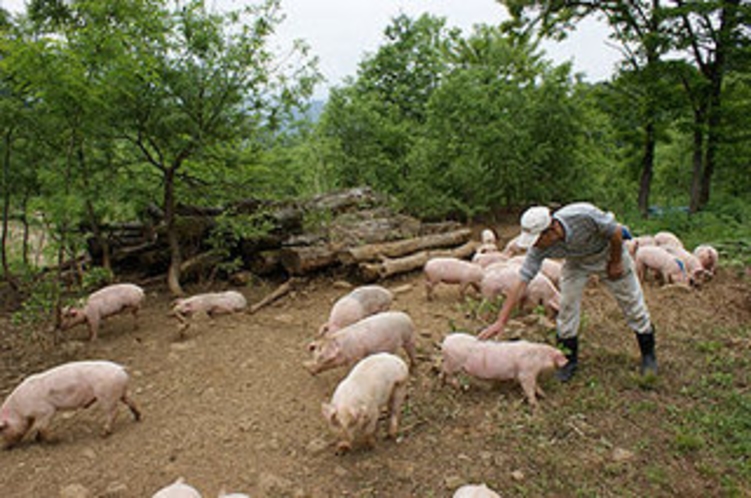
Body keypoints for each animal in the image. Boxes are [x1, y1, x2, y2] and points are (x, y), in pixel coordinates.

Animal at [0, 358, 140, 448]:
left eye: (2, 429)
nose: (4, 447)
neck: (19, 410)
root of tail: (120, 368)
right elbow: (38, 427)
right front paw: (37, 439)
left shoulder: (46, 410)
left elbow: (41, 426)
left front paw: (56, 440)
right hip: (121, 392)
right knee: (131, 401)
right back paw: (137, 417)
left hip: (106, 395)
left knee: (113, 412)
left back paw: (103, 434)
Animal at [438, 334, 568, 408]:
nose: (566, 361)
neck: (539, 357)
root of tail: (445, 341)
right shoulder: (526, 373)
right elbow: (529, 387)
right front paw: (536, 405)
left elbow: (536, 385)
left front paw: (544, 395)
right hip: (453, 363)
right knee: (447, 372)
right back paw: (455, 387)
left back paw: (446, 384)